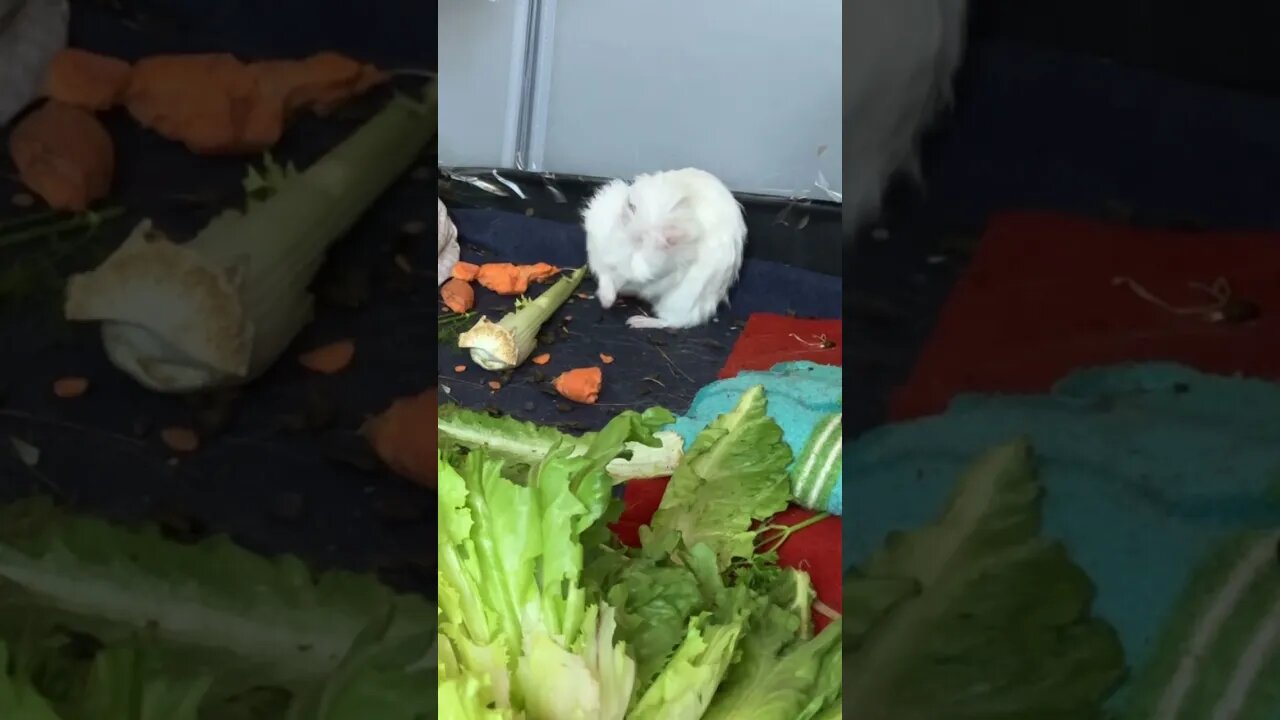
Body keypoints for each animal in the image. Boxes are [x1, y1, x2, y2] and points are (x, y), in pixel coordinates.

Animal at [583, 166, 747, 326]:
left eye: (640, 241)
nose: (606, 306)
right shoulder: (598, 251)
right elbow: (605, 274)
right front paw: (606, 300)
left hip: (681, 301)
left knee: (673, 322)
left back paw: (635, 321)